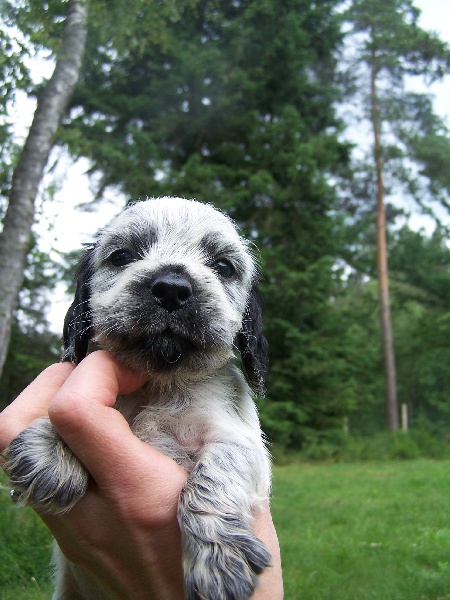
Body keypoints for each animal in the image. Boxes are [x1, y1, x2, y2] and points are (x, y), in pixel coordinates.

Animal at [2, 197, 272, 600]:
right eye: (122, 256)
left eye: (223, 266)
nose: (172, 288)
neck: (160, 384)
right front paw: (51, 448)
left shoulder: (242, 443)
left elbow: (215, 475)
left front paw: (219, 558)